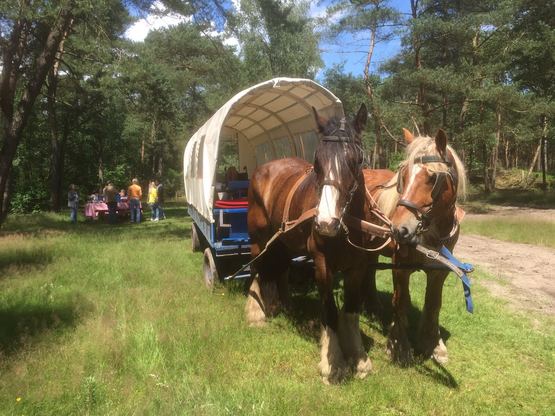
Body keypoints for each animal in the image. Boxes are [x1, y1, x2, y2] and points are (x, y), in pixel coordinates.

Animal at [362, 128, 466, 366]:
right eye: (404, 175)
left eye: (433, 177)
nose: (398, 229)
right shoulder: (400, 266)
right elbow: (401, 301)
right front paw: (398, 346)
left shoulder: (439, 271)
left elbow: (433, 303)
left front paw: (433, 344)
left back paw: (372, 306)